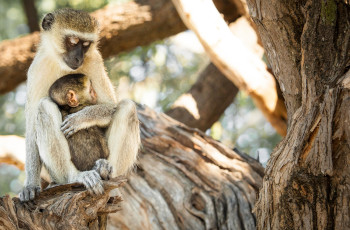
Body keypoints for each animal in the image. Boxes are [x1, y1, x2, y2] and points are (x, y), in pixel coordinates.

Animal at [19, 8, 140, 201]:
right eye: (73, 41)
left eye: (86, 45)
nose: (78, 58)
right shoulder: (37, 69)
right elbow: (31, 129)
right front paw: (30, 185)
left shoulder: (94, 61)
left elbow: (110, 105)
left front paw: (80, 119)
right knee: (44, 107)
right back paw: (75, 177)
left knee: (128, 107)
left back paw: (107, 170)